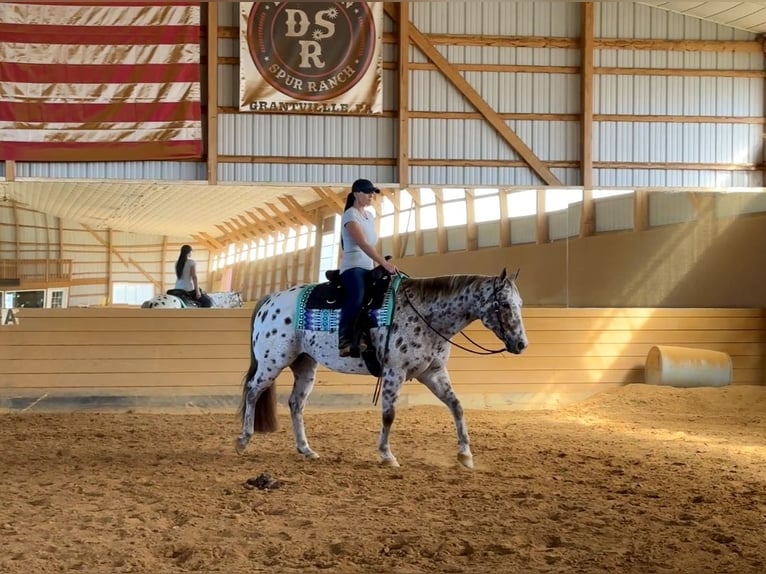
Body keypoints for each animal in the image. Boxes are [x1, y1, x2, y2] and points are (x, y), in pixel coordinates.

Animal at [235, 268, 527, 468]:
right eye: (503, 304)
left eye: (520, 304)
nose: (521, 343)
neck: (425, 314)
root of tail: (270, 300)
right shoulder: (394, 372)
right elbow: (389, 414)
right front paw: (387, 456)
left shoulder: (432, 373)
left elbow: (457, 406)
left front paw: (465, 455)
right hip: (272, 362)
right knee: (252, 392)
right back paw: (243, 440)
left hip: (304, 364)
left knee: (296, 403)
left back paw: (306, 449)